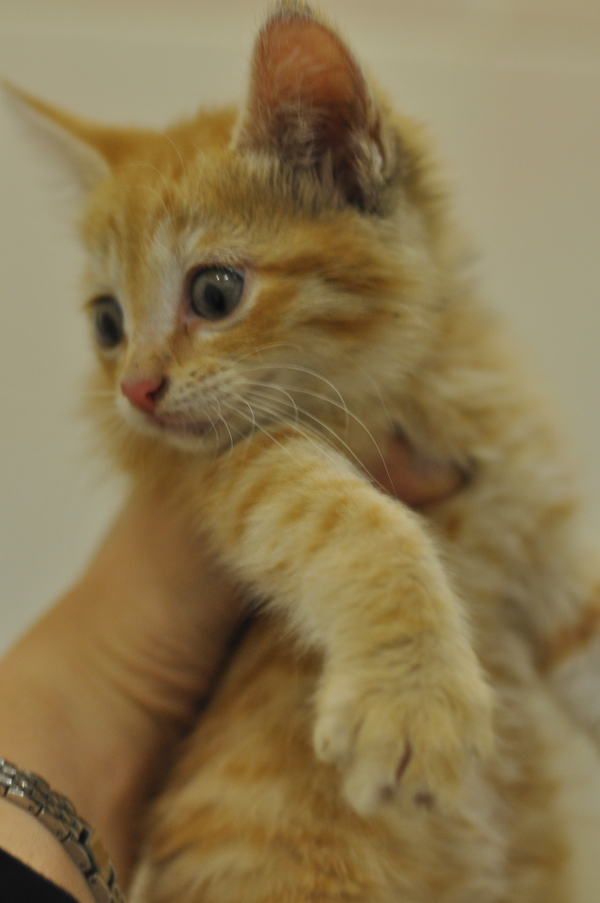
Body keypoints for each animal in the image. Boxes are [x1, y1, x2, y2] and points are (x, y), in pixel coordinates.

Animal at [8, 3, 600, 900]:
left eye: (215, 292)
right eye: (107, 322)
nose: (135, 390)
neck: (419, 383)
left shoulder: (540, 505)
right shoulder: (218, 471)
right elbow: (350, 517)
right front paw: (412, 693)